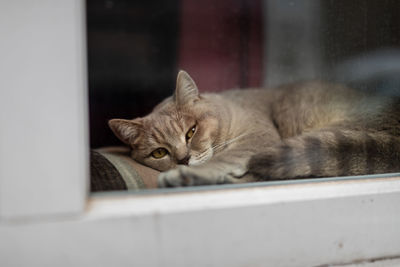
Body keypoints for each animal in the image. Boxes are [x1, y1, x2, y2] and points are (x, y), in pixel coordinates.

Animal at [108, 71, 400, 188]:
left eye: (191, 131)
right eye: (159, 153)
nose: (183, 159)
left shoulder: (259, 137)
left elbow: (225, 159)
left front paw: (190, 173)